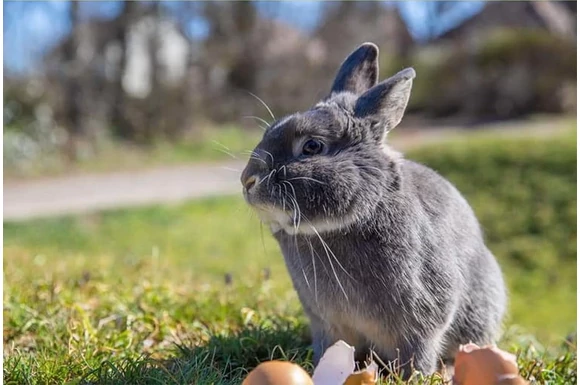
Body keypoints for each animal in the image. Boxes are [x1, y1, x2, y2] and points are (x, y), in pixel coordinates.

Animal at [240, 41, 508, 376]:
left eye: (312, 147)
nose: (247, 180)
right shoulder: (327, 324)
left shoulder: (422, 321)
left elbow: (419, 350)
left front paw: (414, 377)